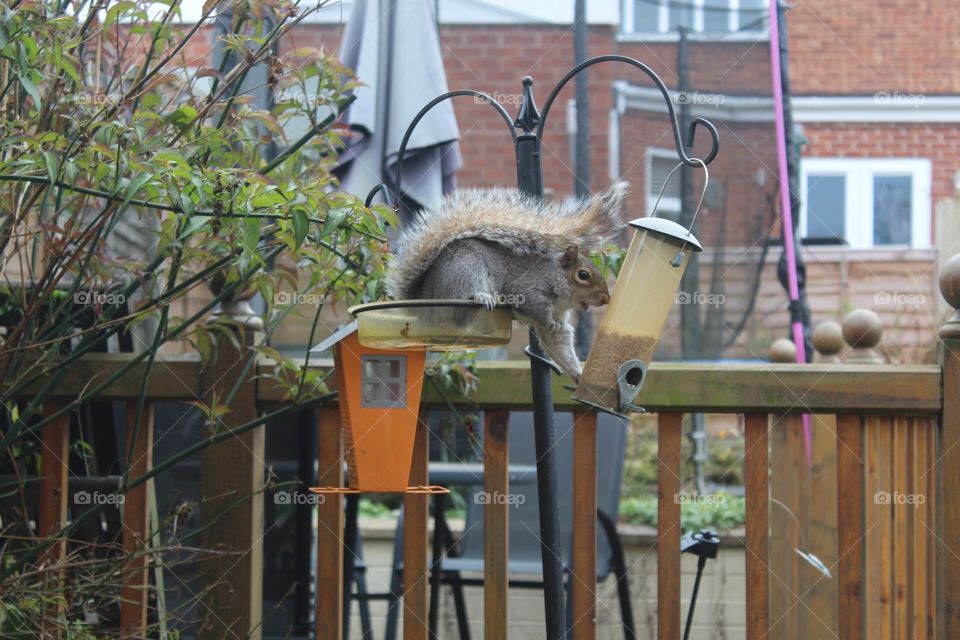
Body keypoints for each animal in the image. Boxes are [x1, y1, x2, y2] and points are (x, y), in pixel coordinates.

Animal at [384, 181, 632, 380]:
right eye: (583, 275)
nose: (606, 298)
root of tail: (423, 295)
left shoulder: (559, 319)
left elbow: (558, 340)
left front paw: (578, 374)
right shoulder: (528, 289)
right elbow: (537, 310)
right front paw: (548, 321)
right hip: (465, 271)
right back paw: (482, 297)